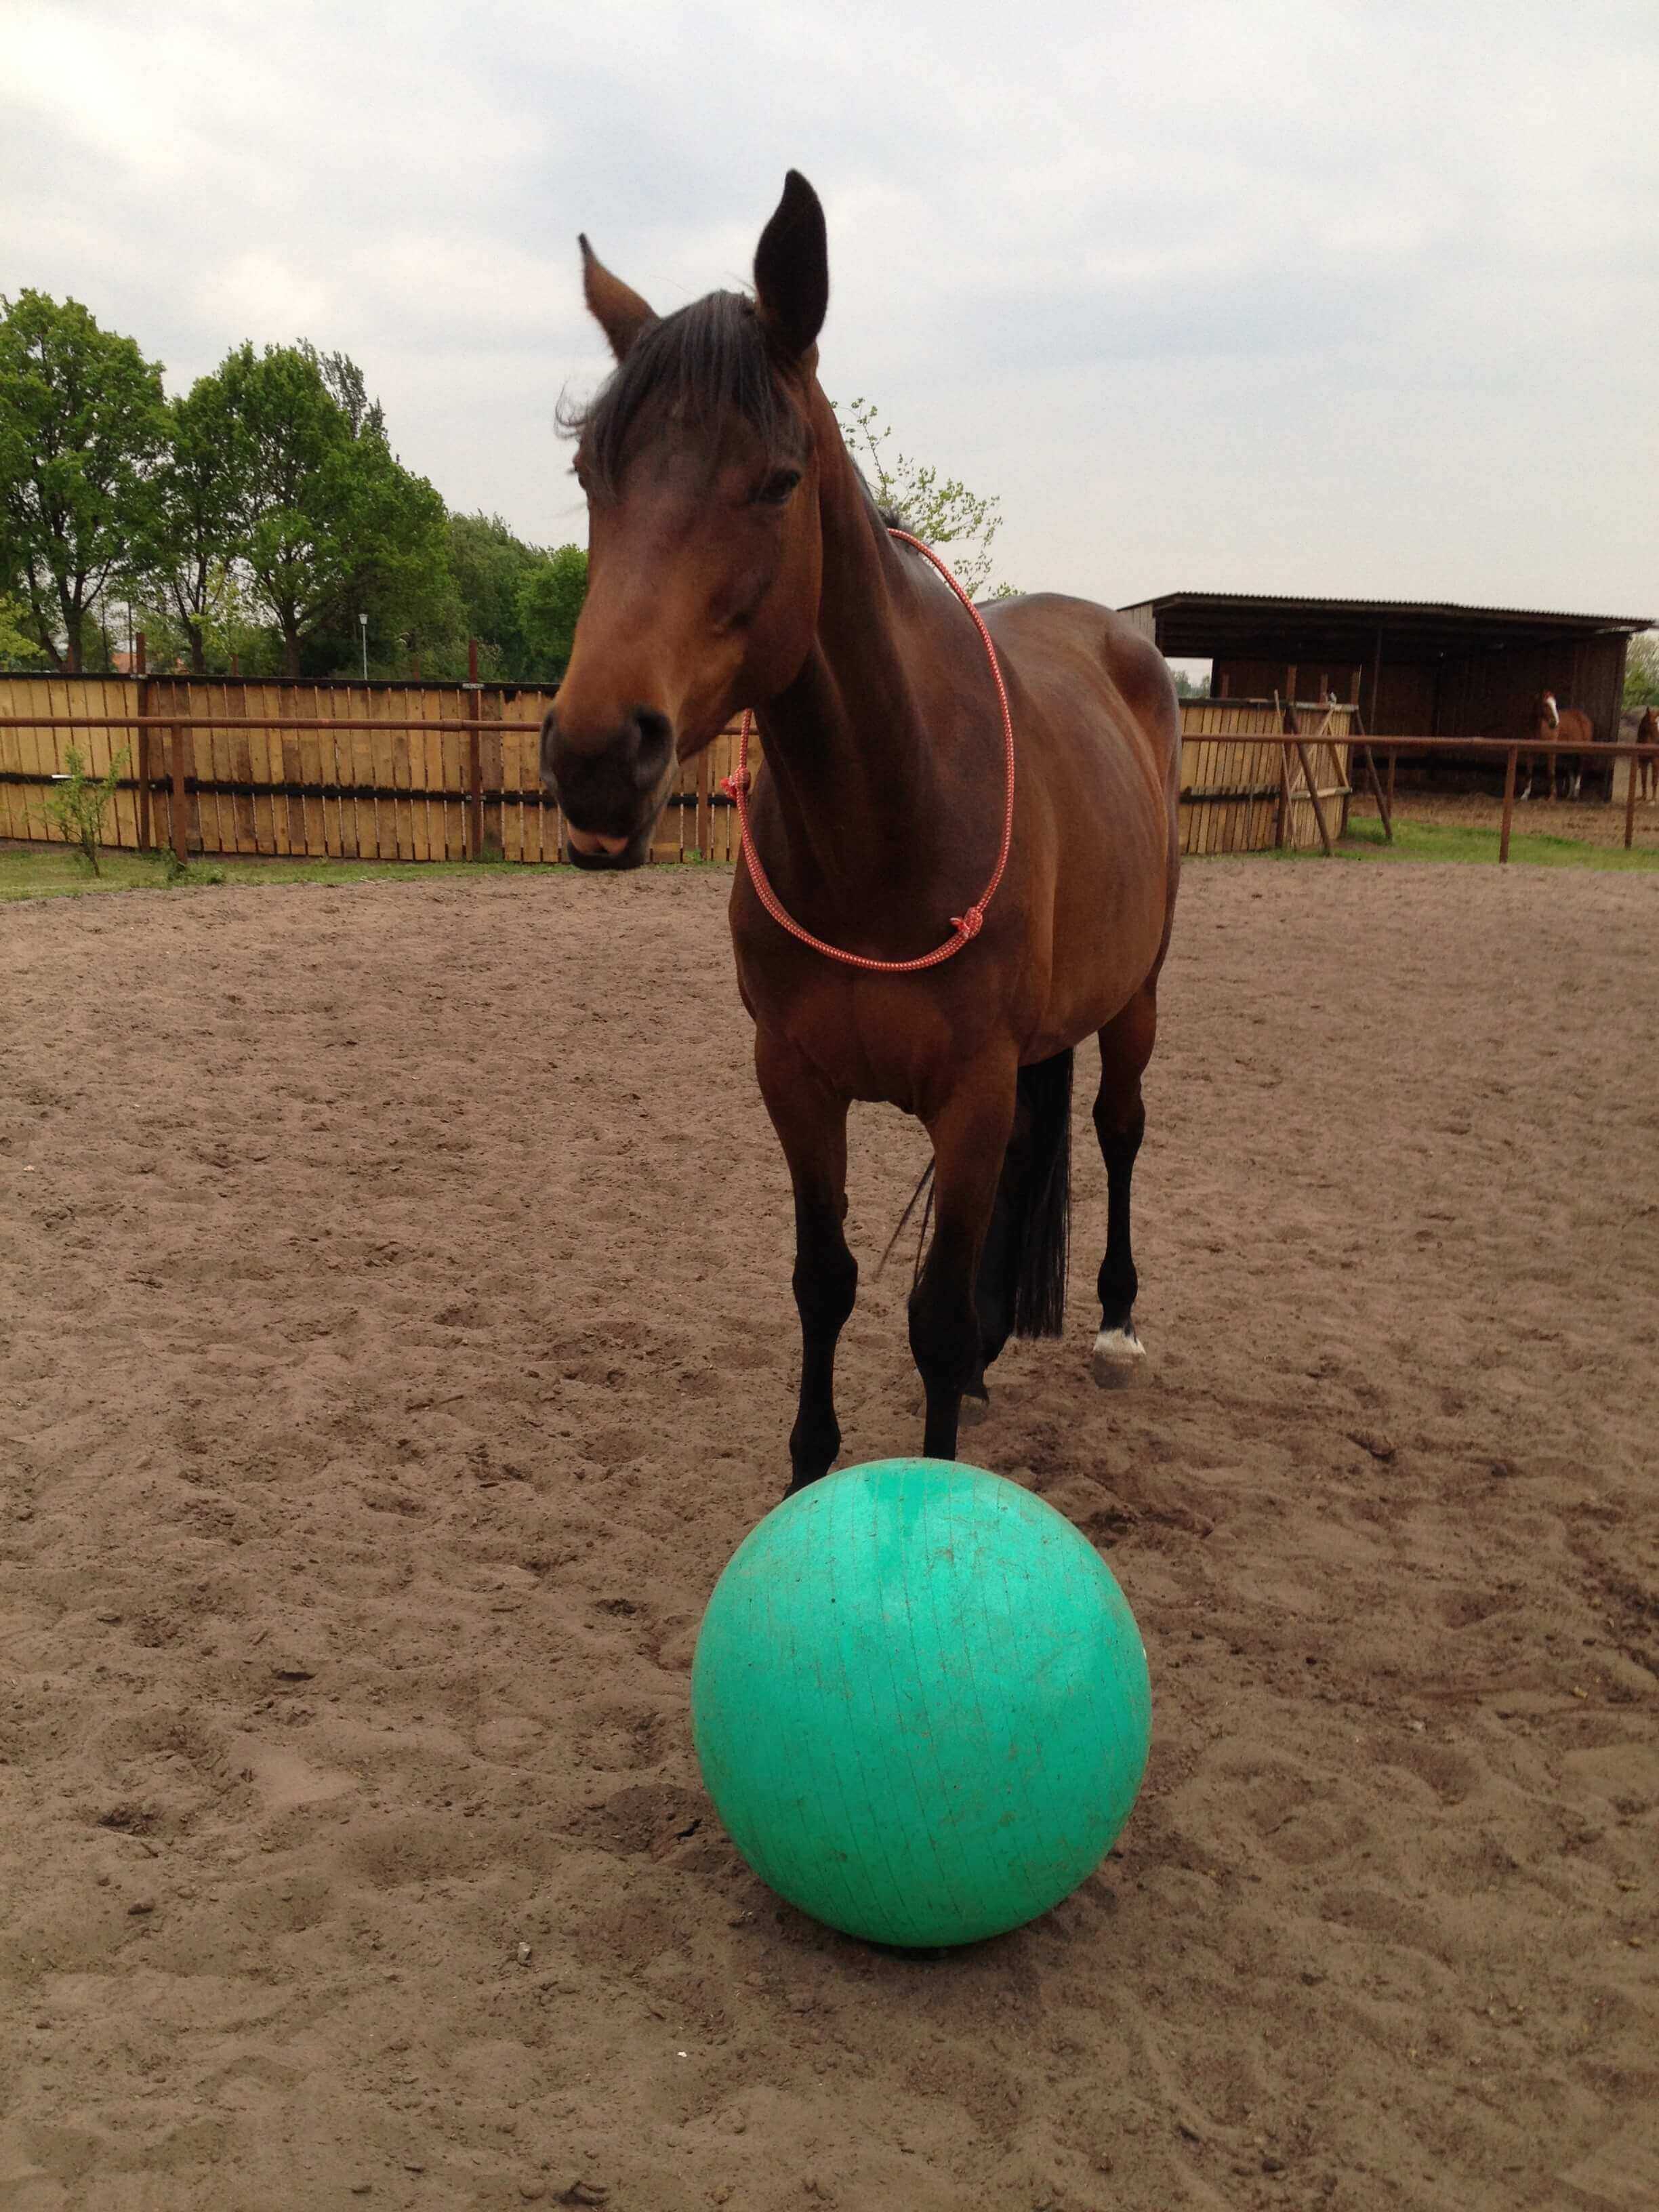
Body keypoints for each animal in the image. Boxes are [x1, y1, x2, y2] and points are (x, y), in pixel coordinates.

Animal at [546, 168, 1185, 1486]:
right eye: (592, 474)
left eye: (777, 481)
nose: (594, 757)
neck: (889, 822)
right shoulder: (794, 1079)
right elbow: (823, 1281)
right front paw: (808, 1466)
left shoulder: (972, 1090)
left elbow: (928, 1314)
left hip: (1136, 996)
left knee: (1116, 1128)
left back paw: (1113, 1323)